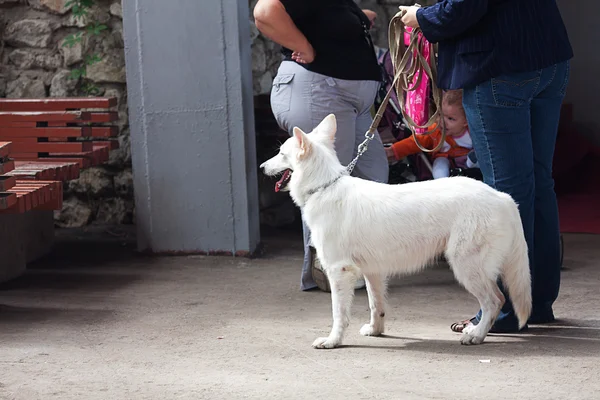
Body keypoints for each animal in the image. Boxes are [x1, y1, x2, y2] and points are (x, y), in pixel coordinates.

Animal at [260, 114, 532, 348]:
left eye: (281, 154)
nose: (261, 167)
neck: (325, 187)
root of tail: (503, 197)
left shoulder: (339, 272)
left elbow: (339, 314)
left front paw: (333, 340)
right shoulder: (372, 271)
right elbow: (376, 305)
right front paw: (376, 330)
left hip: (465, 267)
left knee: (495, 301)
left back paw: (476, 334)